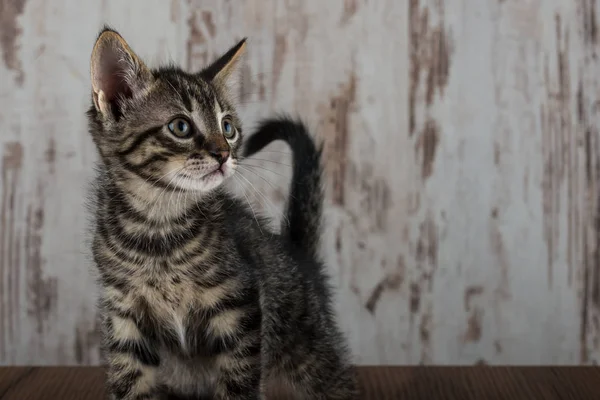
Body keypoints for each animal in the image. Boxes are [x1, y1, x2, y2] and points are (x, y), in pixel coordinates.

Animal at [88, 27, 356, 400]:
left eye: (227, 127)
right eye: (181, 127)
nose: (224, 153)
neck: (157, 224)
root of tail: (296, 253)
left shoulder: (240, 305)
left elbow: (239, 382)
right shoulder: (123, 314)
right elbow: (131, 383)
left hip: (310, 351)